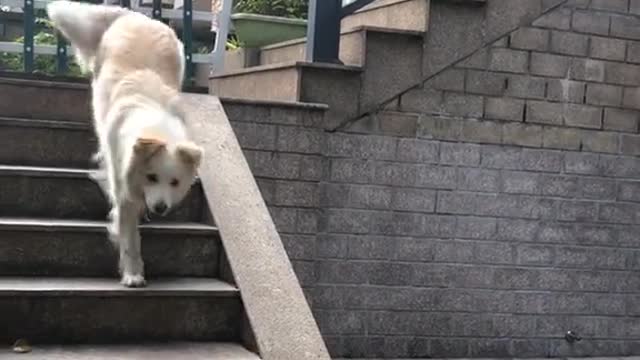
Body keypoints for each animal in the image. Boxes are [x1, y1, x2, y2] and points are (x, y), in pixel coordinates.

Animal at [47, 0, 202, 286]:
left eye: (175, 182)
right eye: (151, 177)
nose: (161, 209)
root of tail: (135, 16)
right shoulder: (124, 193)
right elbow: (130, 239)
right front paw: (132, 274)